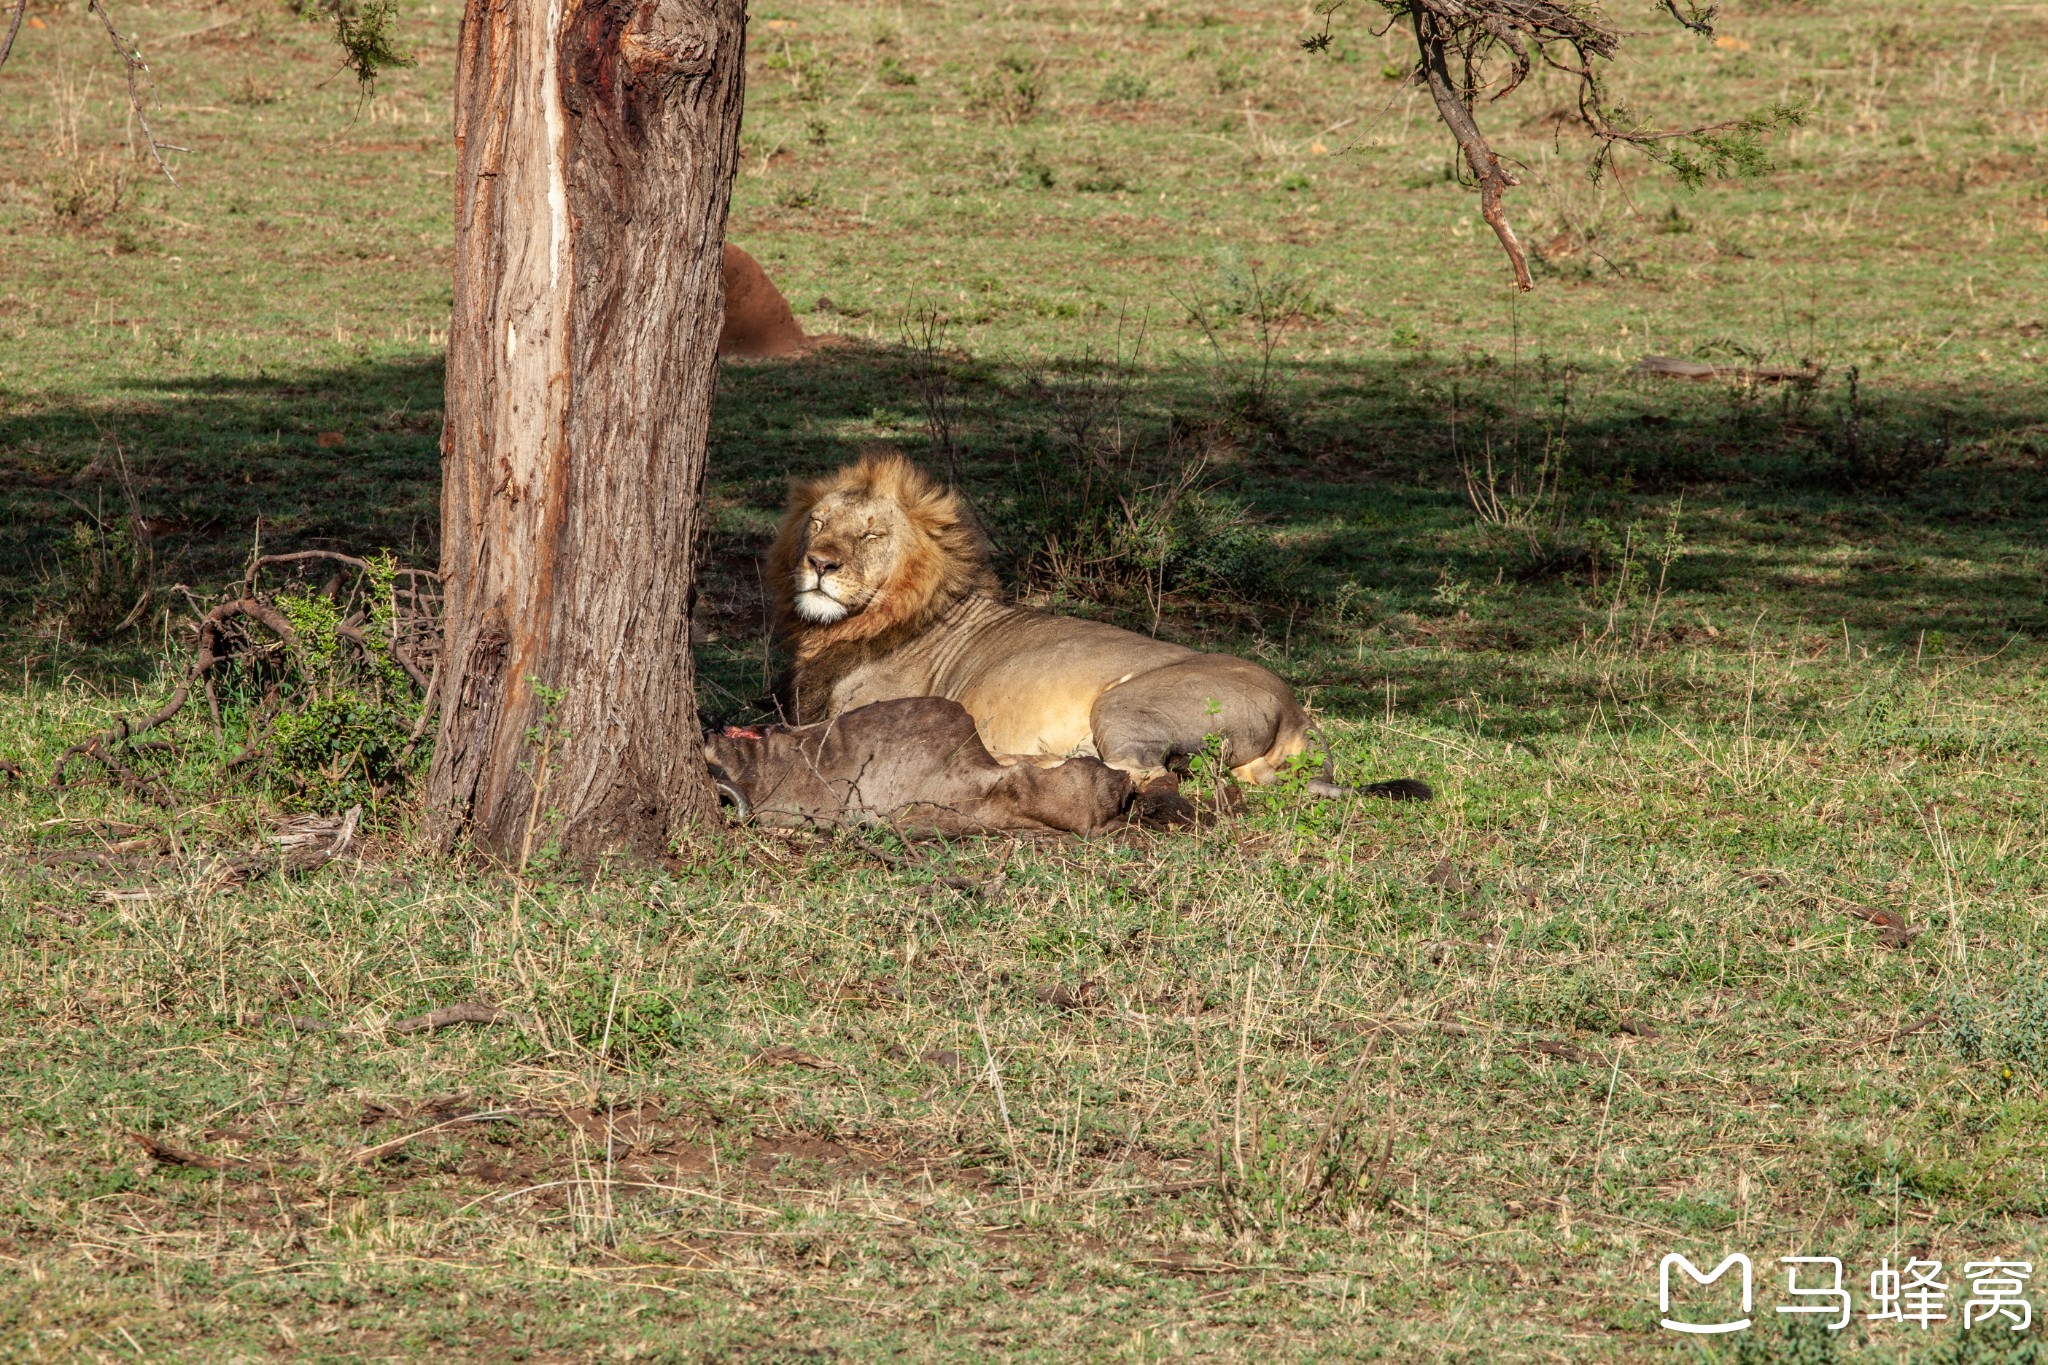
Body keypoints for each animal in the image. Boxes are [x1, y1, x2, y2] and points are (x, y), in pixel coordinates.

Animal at [761, 448, 1433, 802]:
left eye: (872, 534)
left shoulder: (863, 722)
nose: (819, 564)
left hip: (1124, 705)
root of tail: (1297, 711)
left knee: (1145, 776)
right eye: (818, 523)